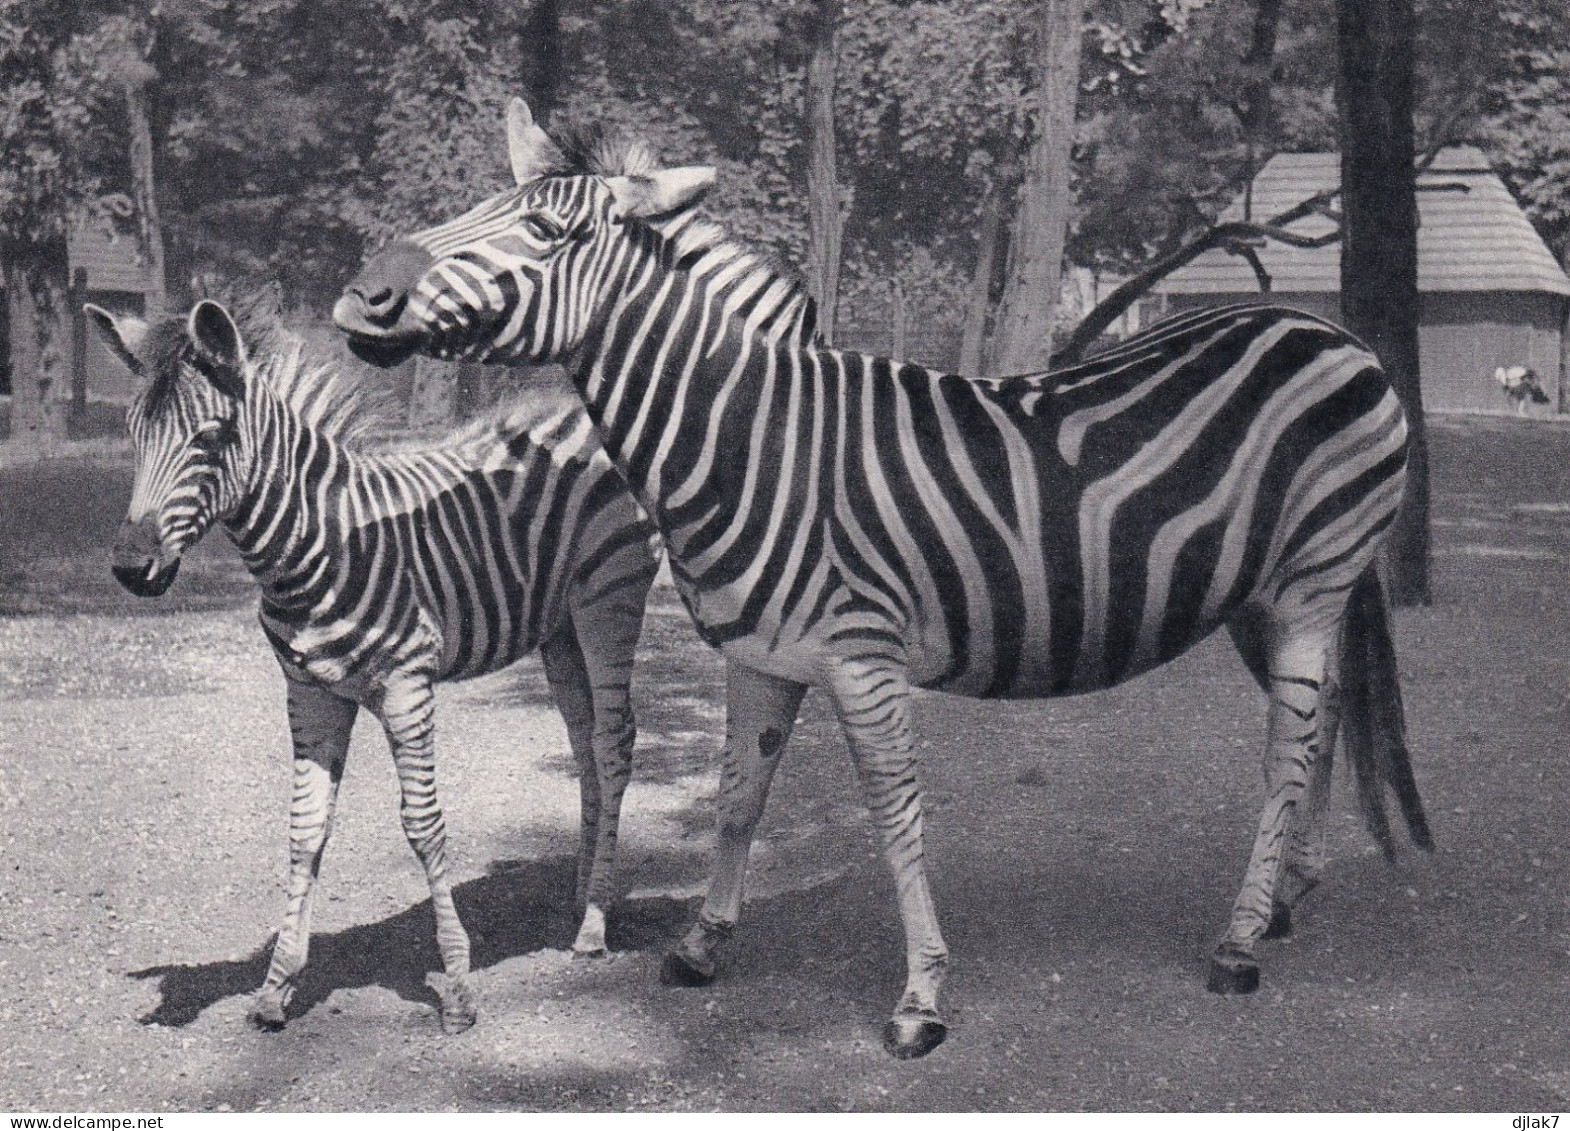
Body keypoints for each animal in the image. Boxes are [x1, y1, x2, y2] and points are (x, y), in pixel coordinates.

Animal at [87, 298, 662, 1036]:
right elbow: (304, 829)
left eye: (212, 437)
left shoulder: (406, 686)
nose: (131, 569)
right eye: (133, 434)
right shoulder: (310, 691)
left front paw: (457, 987)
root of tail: (582, 409)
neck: (312, 546)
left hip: (609, 598)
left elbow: (423, 826)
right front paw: (276, 986)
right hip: (557, 626)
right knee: (586, 747)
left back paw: (593, 927)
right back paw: (587, 894)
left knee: (614, 746)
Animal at [334, 99, 1438, 1061]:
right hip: (1260, 597)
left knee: (1286, 751)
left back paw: (1239, 941)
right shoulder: (760, 654)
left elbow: (895, 816)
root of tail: (1330, 330)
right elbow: (736, 798)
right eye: (481, 203)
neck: (752, 439)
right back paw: (1286, 897)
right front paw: (701, 945)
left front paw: (919, 1000)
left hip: (1311, 579)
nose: (359, 296)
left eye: (548, 230)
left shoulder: (862, 659)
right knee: (1324, 717)